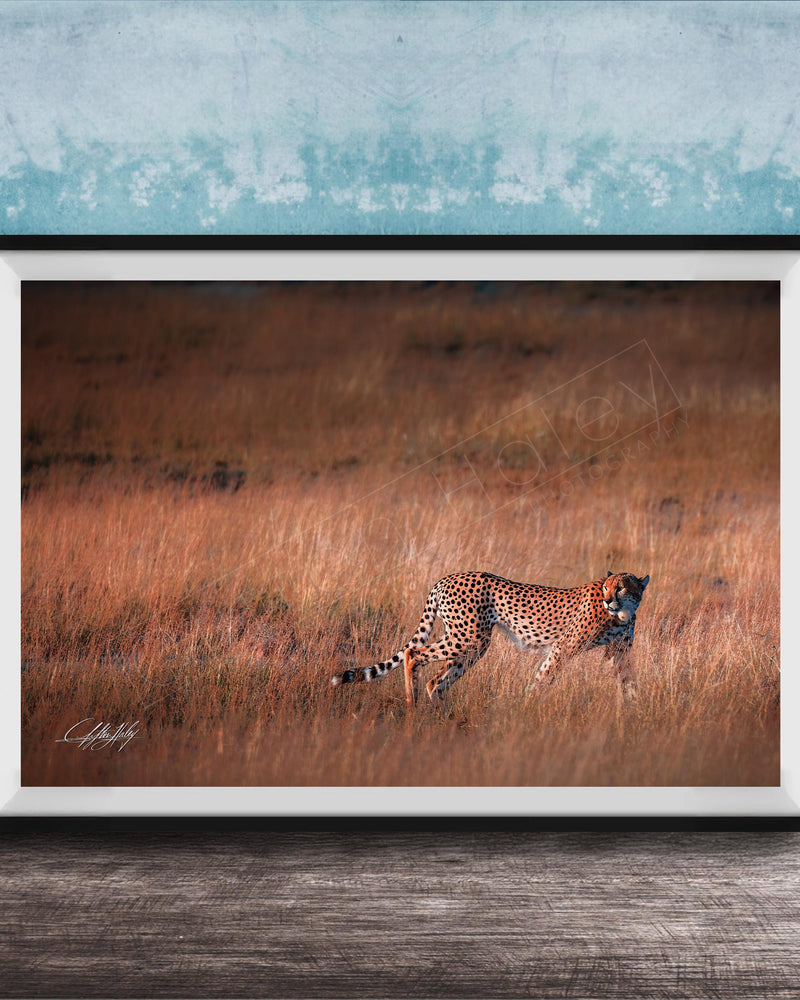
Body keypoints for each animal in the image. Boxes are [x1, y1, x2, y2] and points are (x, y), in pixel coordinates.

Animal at [330, 570, 650, 708]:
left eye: (621, 588)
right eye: (606, 587)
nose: (608, 600)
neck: (622, 614)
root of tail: (447, 577)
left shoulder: (619, 653)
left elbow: (629, 682)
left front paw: (636, 713)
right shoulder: (563, 647)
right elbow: (543, 678)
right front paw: (526, 707)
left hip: (470, 644)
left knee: (437, 680)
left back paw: (441, 719)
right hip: (469, 638)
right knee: (413, 655)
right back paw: (412, 707)